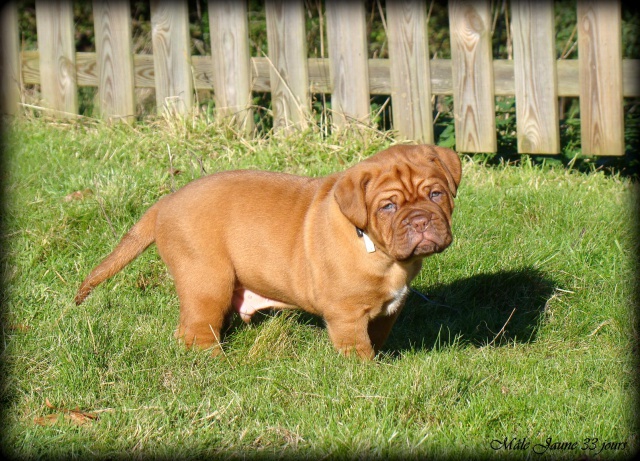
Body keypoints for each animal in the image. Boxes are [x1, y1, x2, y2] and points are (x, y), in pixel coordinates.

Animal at [76, 144, 460, 360]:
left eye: (436, 194)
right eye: (388, 206)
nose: (421, 220)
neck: (382, 253)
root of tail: (165, 203)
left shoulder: (386, 310)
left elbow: (377, 339)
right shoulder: (346, 314)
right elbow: (358, 350)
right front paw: (366, 375)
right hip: (206, 281)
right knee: (195, 332)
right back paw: (216, 362)